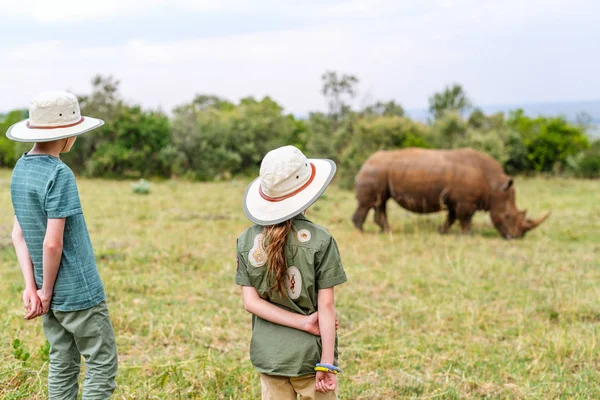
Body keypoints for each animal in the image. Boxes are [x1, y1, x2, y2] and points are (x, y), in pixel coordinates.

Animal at [352, 148, 552, 239]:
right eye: (509, 216)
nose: (516, 237)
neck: (495, 188)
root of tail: (365, 162)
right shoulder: (465, 202)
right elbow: (464, 218)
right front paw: (469, 235)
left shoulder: (457, 200)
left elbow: (452, 217)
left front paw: (441, 231)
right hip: (374, 171)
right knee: (369, 203)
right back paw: (362, 231)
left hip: (379, 172)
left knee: (380, 203)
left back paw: (386, 231)